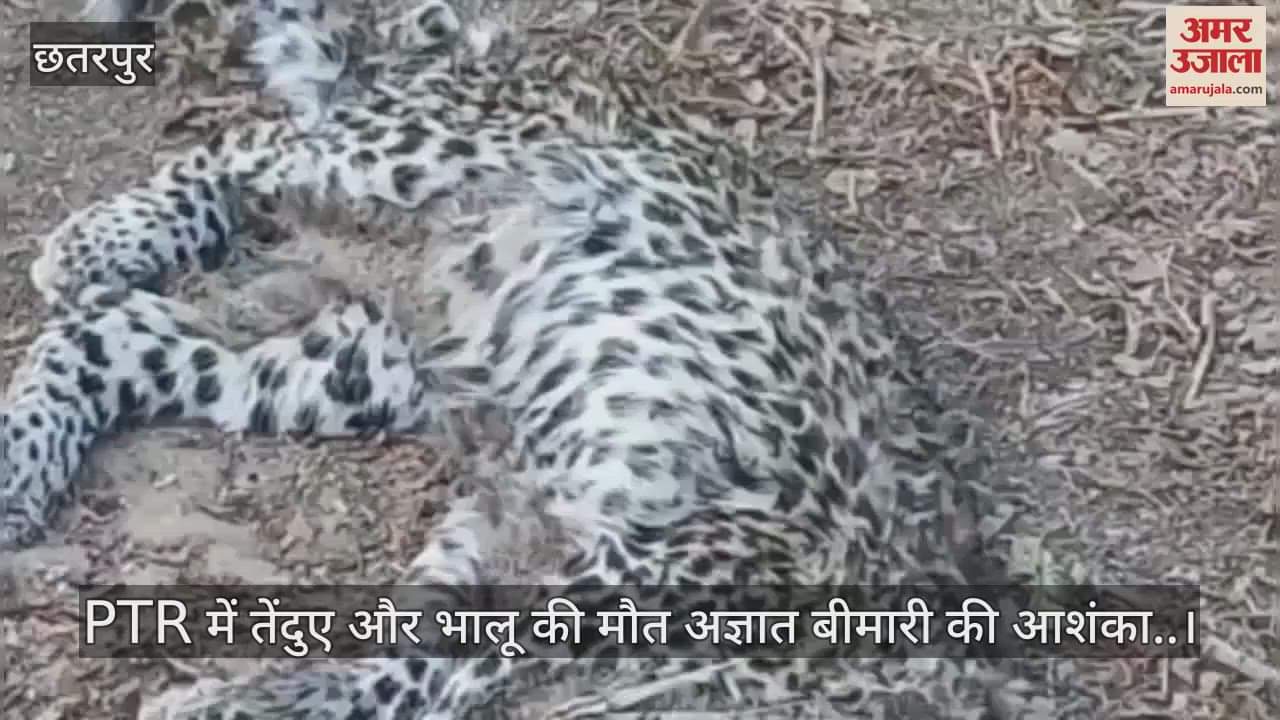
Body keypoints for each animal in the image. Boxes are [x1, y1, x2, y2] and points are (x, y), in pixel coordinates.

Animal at [4, 0, 1103, 717]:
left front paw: (267, 697)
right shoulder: (636, 561)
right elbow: (450, 657)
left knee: (119, 334)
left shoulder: (514, 536)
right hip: (419, 151)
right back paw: (94, 244)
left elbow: (424, 662)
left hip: (367, 360)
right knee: (243, 146)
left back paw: (19, 466)